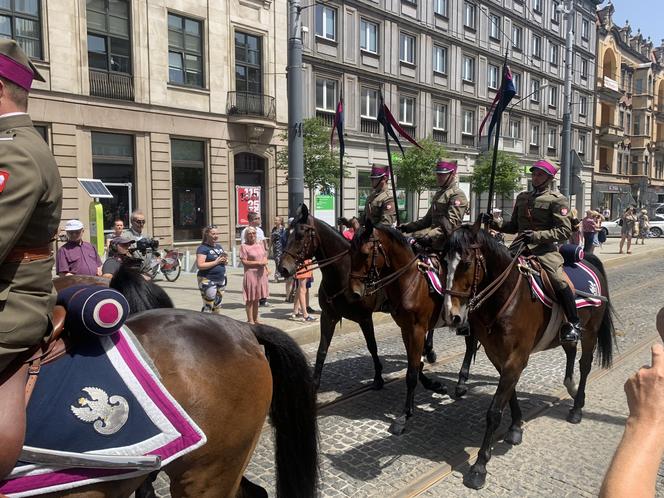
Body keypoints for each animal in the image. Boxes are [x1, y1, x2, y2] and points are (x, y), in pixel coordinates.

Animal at [278, 204, 436, 392]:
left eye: (300, 235)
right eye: (287, 233)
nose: (282, 268)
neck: (342, 274)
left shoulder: (364, 317)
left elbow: (372, 346)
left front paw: (378, 378)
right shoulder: (329, 316)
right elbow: (322, 349)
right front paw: (314, 384)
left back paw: (429, 352)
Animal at [440, 224, 616, 488]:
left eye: (467, 263)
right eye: (443, 261)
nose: (452, 316)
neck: (505, 298)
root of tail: (587, 258)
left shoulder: (516, 358)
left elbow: (494, 411)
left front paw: (479, 466)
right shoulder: (498, 355)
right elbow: (509, 394)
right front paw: (515, 427)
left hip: (591, 332)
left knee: (584, 365)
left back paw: (577, 408)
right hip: (565, 335)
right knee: (570, 351)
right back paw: (572, 388)